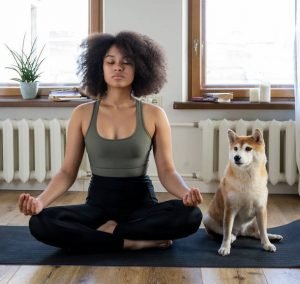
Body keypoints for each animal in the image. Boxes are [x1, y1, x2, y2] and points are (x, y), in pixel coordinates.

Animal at [203, 127, 282, 256]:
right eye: (235, 148)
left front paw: (267, 244)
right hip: (207, 219)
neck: (247, 177)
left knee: (258, 233)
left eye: (248, 148)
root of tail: (241, 232)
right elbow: (226, 231)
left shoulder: (261, 208)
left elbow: (263, 232)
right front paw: (225, 247)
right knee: (223, 232)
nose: (236, 157)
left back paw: (273, 237)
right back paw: (232, 237)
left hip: (255, 220)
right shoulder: (230, 209)